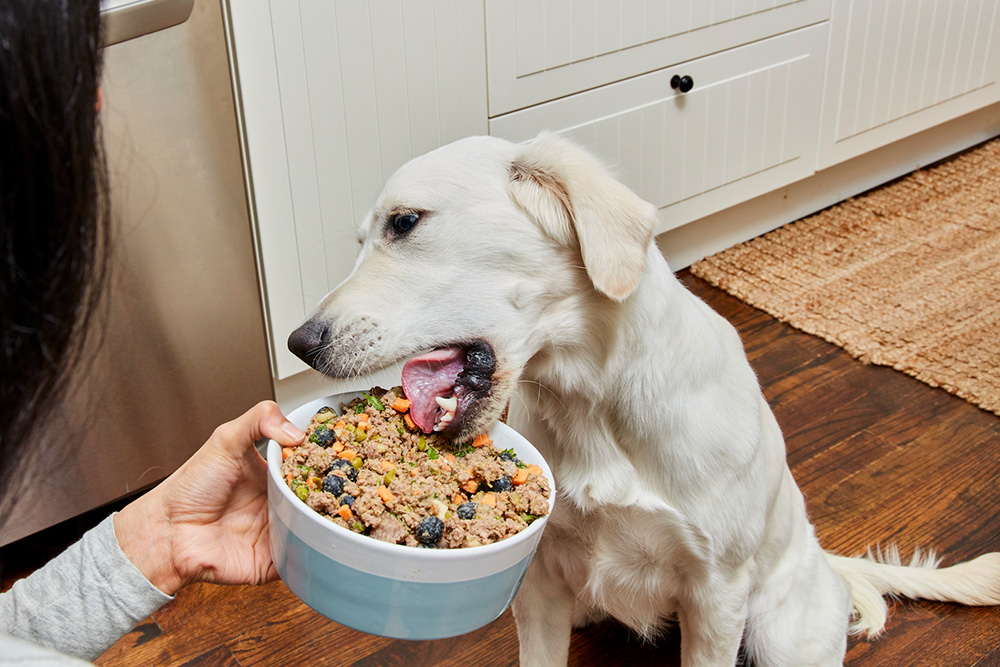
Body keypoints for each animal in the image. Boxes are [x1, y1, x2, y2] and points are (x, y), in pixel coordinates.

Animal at [290, 136, 1000, 667]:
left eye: (405, 222)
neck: (594, 404)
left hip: (779, 634)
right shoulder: (540, 586)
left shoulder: (717, 598)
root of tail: (825, 557)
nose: (299, 344)